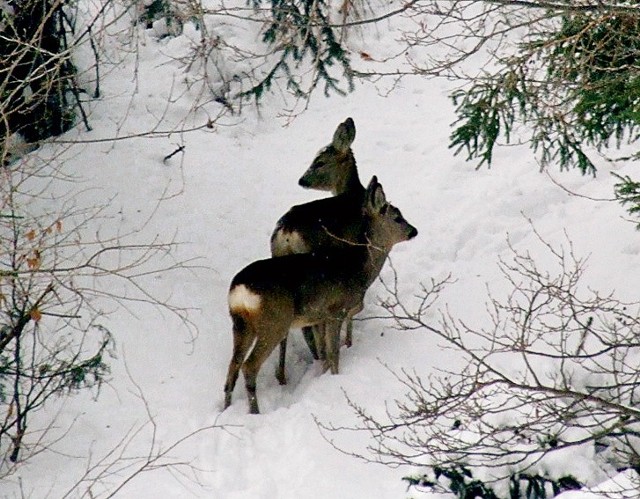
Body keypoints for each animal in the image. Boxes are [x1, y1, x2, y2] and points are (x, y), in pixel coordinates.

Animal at [226, 177, 420, 414]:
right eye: (397, 217)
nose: (414, 231)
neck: (358, 268)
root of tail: (240, 290)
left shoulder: (320, 317)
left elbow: (325, 353)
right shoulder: (335, 311)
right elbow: (333, 352)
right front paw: (336, 380)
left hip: (240, 324)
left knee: (233, 367)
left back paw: (225, 408)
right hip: (273, 322)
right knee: (249, 366)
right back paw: (255, 412)